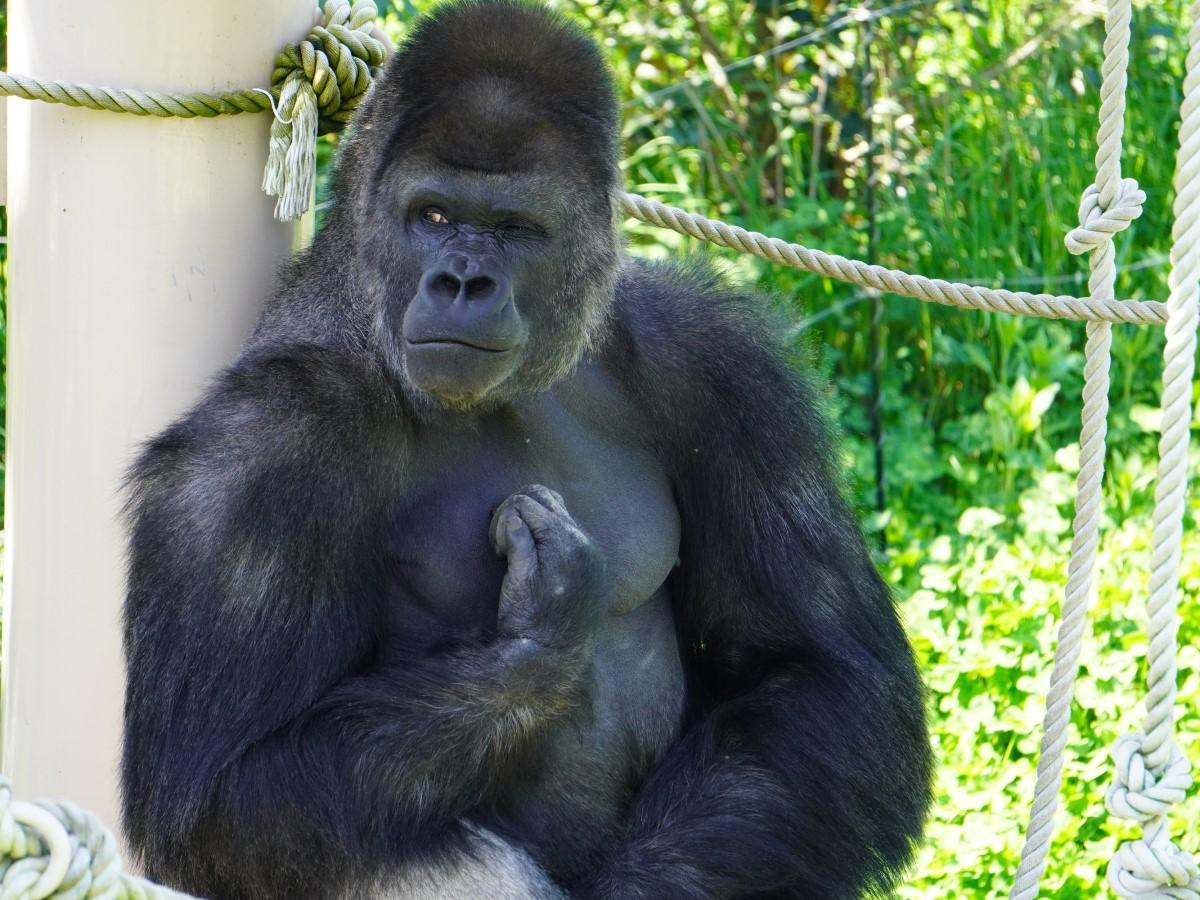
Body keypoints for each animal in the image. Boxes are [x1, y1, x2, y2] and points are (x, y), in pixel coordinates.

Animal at [119, 3, 926, 897]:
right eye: (433, 215)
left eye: (514, 229)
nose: (463, 282)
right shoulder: (261, 444)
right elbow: (215, 790)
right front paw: (545, 634)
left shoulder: (717, 360)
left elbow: (821, 676)